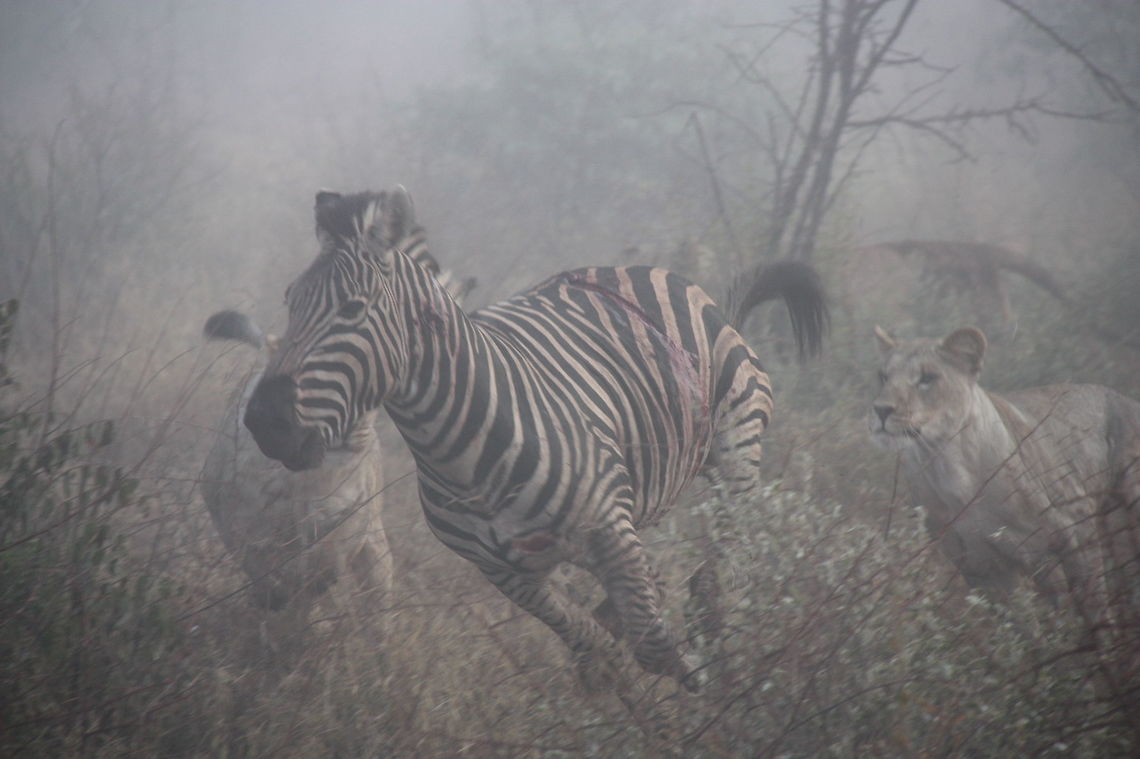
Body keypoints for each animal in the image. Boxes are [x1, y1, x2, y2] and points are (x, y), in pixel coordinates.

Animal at [243, 187, 828, 691]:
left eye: (352, 309)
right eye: (289, 301)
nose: (265, 422)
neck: (457, 454)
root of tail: (659, 274)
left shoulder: (609, 531)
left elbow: (653, 647)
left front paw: (698, 726)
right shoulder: (507, 575)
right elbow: (597, 649)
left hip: (736, 454)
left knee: (722, 572)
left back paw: (725, 661)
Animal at [868, 325, 1140, 623]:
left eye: (927, 378)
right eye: (883, 376)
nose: (881, 409)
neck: (948, 466)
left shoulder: (1077, 533)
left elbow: (1095, 612)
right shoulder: (982, 569)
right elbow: (1024, 628)